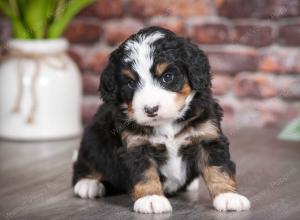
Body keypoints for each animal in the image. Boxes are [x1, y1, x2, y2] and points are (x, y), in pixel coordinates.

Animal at [72, 25, 251, 213]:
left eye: (167, 77)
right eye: (130, 83)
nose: (151, 110)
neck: (167, 123)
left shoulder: (208, 136)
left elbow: (218, 167)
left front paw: (228, 196)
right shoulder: (135, 146)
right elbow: (145, 173)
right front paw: (151, 198)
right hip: (92, 139)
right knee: (84, 163)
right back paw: (88, 183)